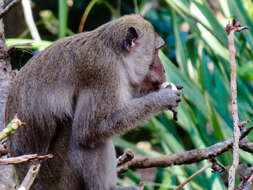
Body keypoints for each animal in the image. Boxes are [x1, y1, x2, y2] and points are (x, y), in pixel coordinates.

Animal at [4, 14, 182, 190]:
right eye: (156, 51)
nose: (164, 70)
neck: (115, 54)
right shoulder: (103, 72)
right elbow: (90, 129)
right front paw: (164, 98)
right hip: (58, 179)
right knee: (81, 133)